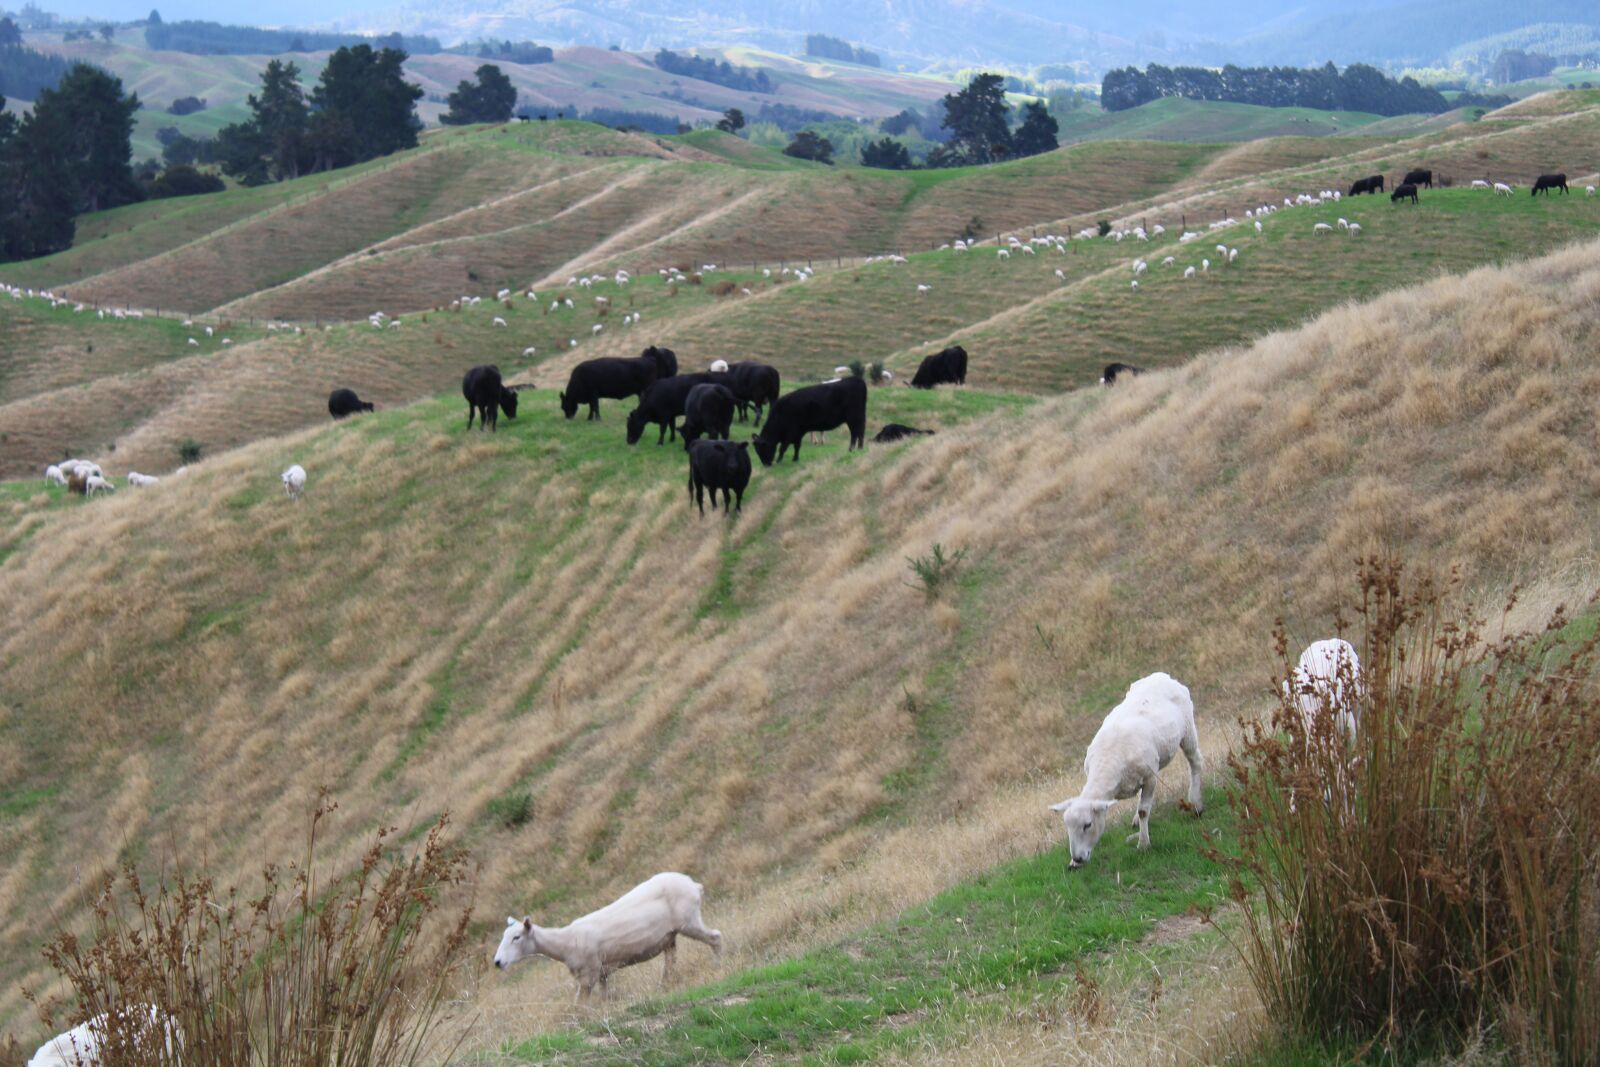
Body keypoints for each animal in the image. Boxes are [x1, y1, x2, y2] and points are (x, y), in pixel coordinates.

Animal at [493, 872, 722, 999]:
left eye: (516, 937)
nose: (497, 962)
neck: (565, 942)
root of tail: (694, 885)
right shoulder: (602, 973)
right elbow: (605, 997)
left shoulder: (589, 975)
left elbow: (580, 1004)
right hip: (669, 936)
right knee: (671, 960)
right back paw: (664, 985)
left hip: (689, 921)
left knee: (716, 937)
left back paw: (717, 966)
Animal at [1048, 672, 1204, 868]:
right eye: (1067, 827)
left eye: (1088, 825)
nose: (1077, 858)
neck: (1108, 762)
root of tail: (1161, 675)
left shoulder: (1150, 777)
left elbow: (1144, 810)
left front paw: (1143, 844)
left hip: (1188, 730)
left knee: (1195, 762)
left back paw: (1196, 803)